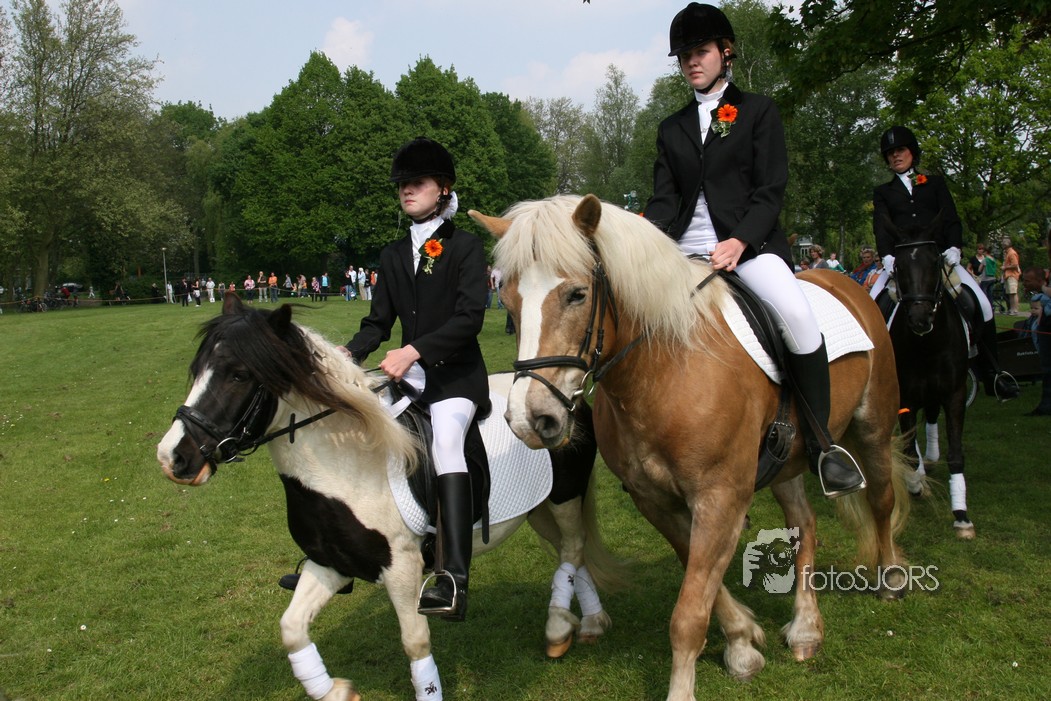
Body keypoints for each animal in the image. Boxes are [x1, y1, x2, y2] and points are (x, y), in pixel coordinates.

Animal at [155, 293, 622, 701]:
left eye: (238, 375)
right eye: (197, 369)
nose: (172, 458)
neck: (347, 467)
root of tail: (567, 395)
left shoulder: (402, 568)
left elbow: (415, 642)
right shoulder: (331, 564)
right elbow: (291, 628)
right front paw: (335, 691)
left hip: (564, 497)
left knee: (574, 547)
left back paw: (560, 626)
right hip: (540, 508)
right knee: (571, 554)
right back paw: (590, 623)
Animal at [469, 194, 910, 701]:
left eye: (577, 294)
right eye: (507, 299)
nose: (530, 419)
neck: (664, 370)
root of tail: (848, 283)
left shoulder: (719, 498)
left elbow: (688, 614)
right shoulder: (657, 501)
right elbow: (702, 585)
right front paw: (742, 641)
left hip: (873, 427)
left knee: (881, 499)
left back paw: (891, 579)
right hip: (787, 462)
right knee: (806, 523)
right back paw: (804, 628)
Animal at [885, 223, 974, 539]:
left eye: (935, 262)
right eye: (898, 266)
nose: (919, 319)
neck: (927, 345)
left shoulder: (956, 394)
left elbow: (956, 454)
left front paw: (961, 515)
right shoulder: (906, 397)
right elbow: (910, 451)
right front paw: (915, 484)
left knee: (933, 416)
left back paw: (932, 457)